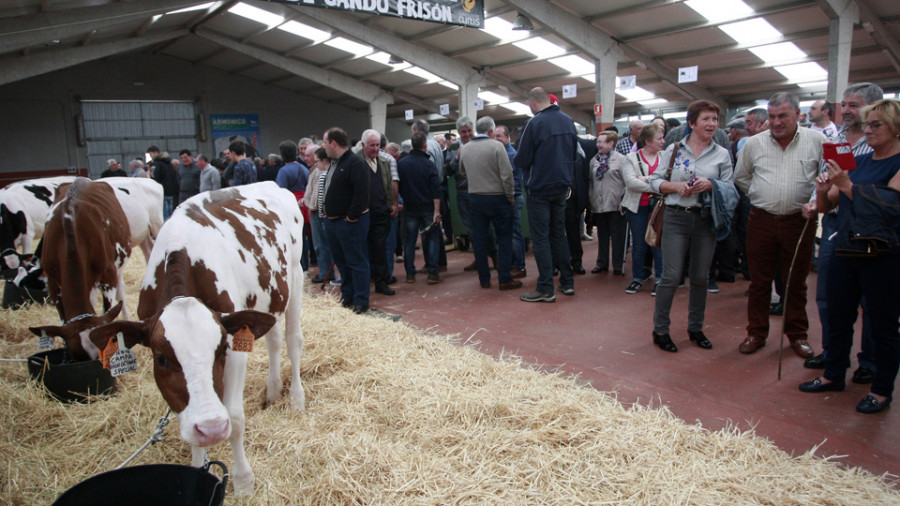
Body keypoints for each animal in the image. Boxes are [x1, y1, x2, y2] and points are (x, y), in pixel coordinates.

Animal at [28, 178, 132, 360]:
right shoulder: (52, 282)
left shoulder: (109, 275)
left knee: (121, 291)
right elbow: (63, 319)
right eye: (74, 356)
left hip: (119, 265)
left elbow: (108, 311)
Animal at [88, 182, 306, 494]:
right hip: (270, 296)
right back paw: (273, 391)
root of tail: (272, 184)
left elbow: (235, 417)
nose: (212, 429)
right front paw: (198, 468)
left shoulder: (236, 347)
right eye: (161, 358)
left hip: (296, 276)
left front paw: (243, 481)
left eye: (221, 351)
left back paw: (297, 399)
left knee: (292, 341)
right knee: (274, 340)